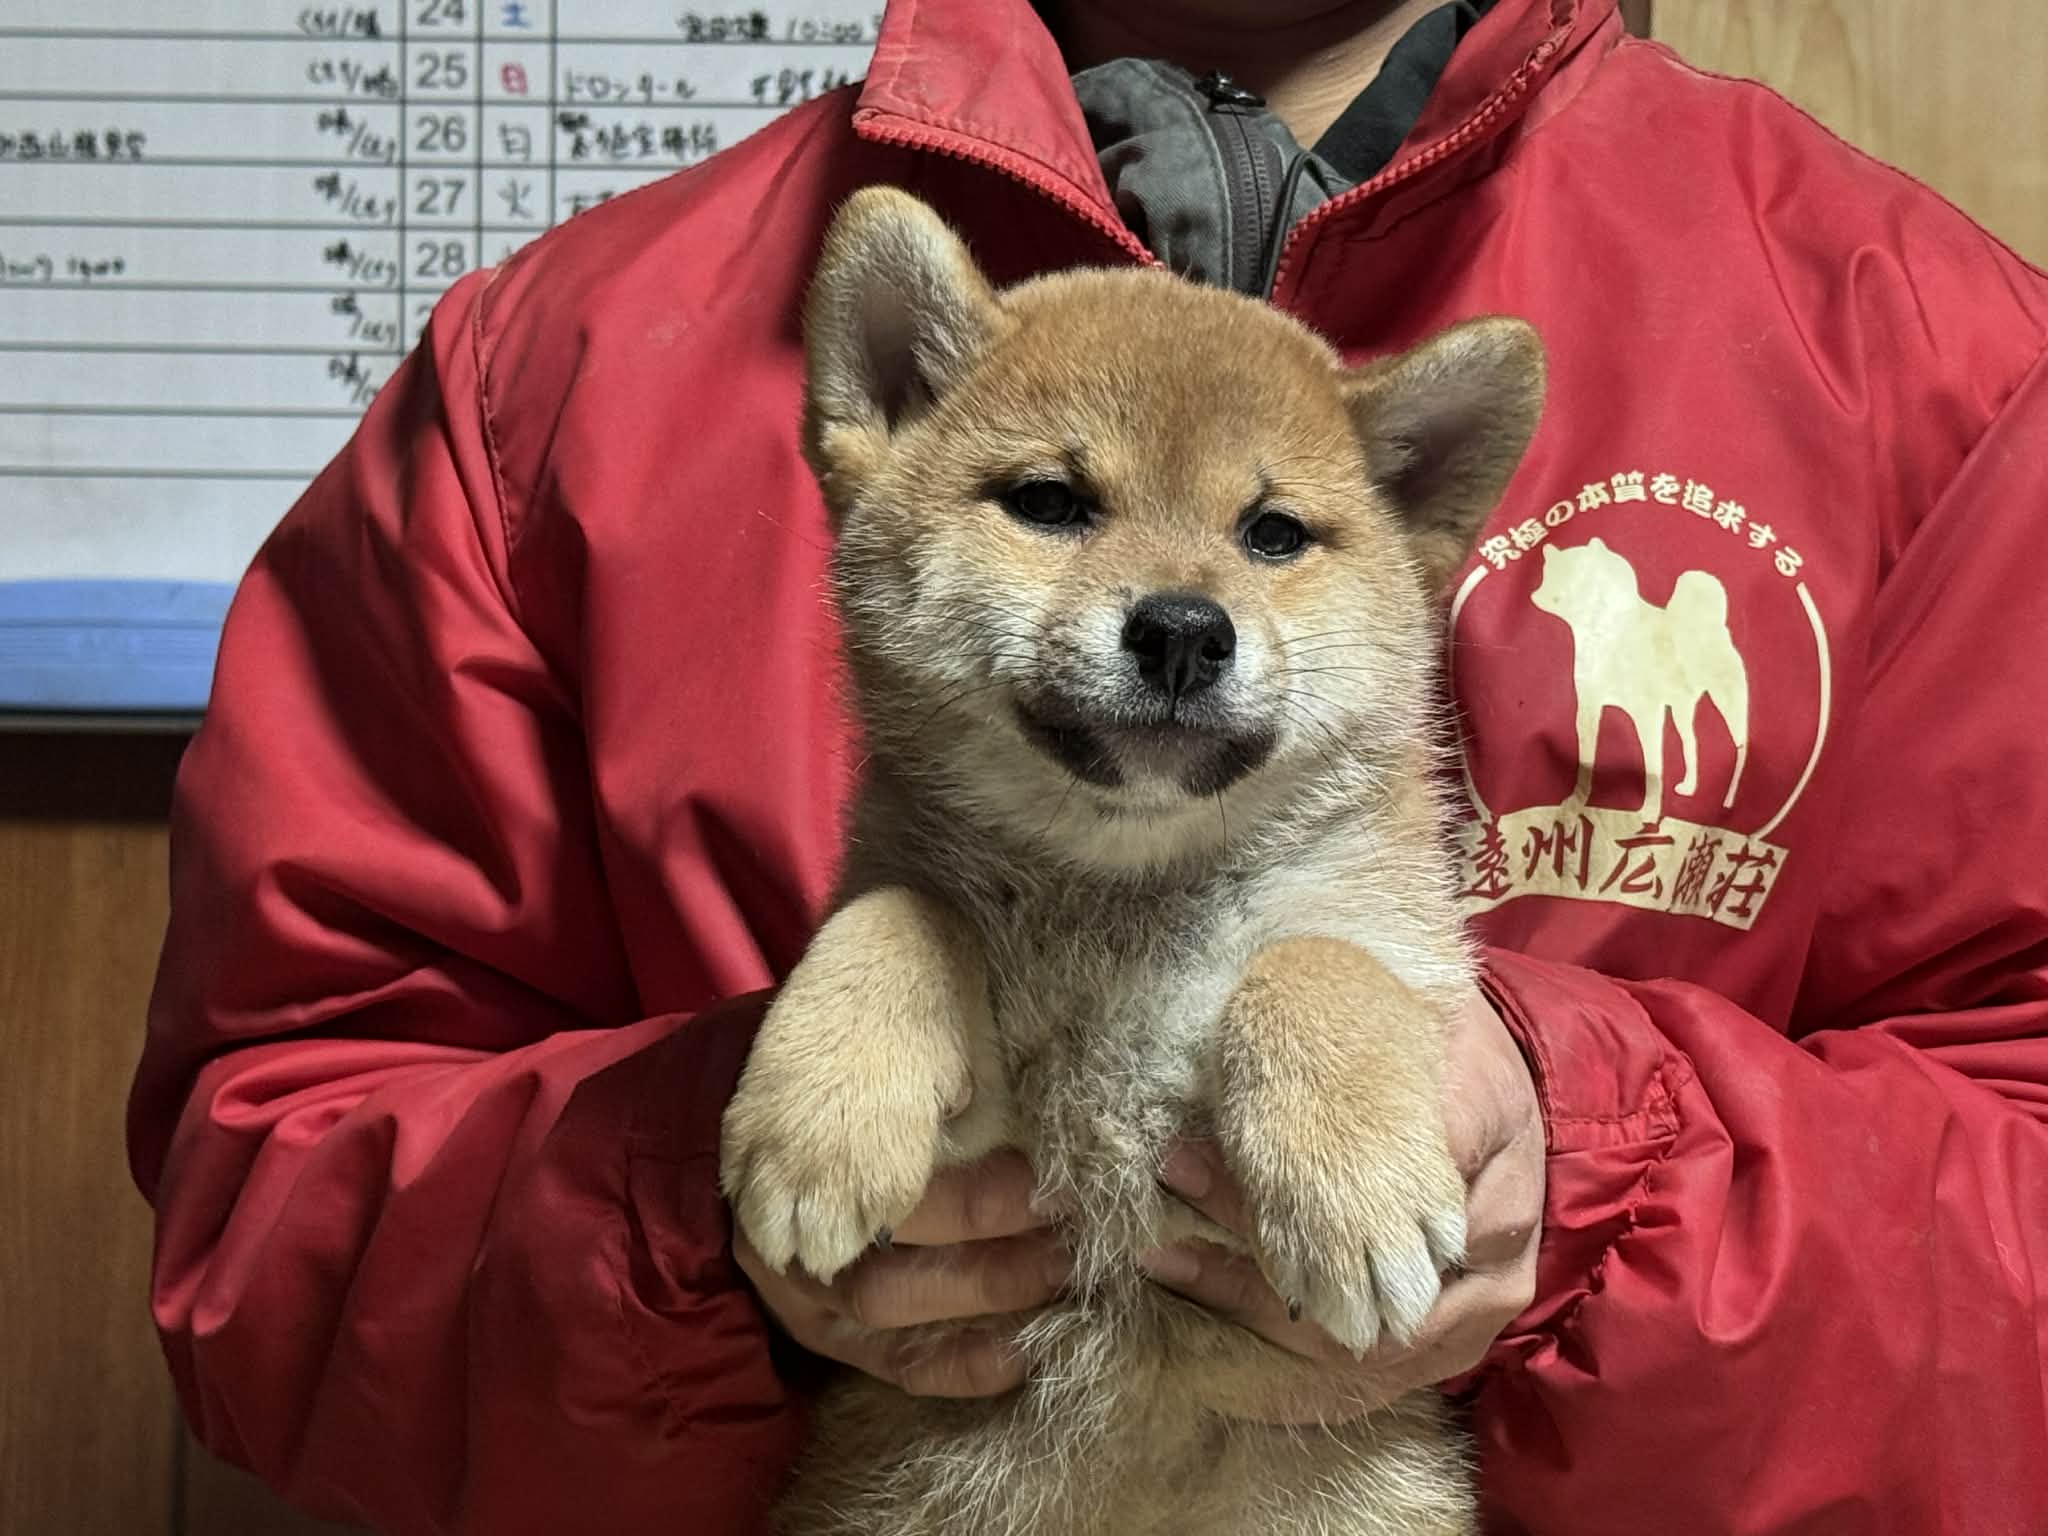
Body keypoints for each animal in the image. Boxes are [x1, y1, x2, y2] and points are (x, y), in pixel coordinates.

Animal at [719, 186, 1546, 1536]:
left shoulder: (1405, 968)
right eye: (1051, 502)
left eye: (1272, 534)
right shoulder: (983, 1148)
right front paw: (819, 1119)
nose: (1181, 630)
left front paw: (1351, 1190)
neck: (1125, 901)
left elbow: (1313, 966)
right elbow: (895, 914)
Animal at [1529, 537, 1749, 823]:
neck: (1604, 634)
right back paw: (1690, 787)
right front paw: (1577, 801)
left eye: (1573, 571)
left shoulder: (1647, 715)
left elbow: (1653, 767)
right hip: (1681, 708)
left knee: (1740, 748)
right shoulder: (1588, 709)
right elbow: (1586, 763)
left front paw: (1649, 811)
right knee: (1691, 742)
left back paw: (1730, 800)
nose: (1537, 593)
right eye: (1548, 573)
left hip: (1729, 705)